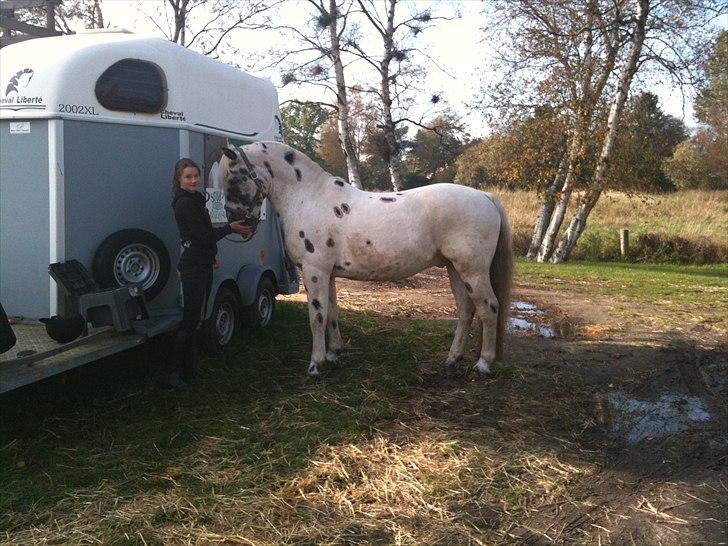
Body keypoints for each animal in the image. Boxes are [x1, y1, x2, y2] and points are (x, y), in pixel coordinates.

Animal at [215, 142, 512, 376]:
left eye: (233, 178)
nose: (238, 223)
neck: (308, 198)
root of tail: (485, 196)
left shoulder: (314, 271)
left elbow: (316, 317)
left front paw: (315, 365)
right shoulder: (328, 273)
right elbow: (331, 313)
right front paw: (333, 355)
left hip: (472, 270)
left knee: (489, 308)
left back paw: (483, 365)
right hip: (454, 268)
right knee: (466, 310)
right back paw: (452, 359)